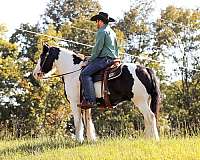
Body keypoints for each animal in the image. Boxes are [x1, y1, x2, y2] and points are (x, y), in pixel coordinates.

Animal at [33, 44, 161, 142]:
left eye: (42, 56)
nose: (35, 74)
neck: (73, 72)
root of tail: (146, 69)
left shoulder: (74, 103)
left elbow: (78, 122)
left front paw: (78, 140)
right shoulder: (86, 104)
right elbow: (87, 120)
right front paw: (90, 139)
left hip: (140, 101)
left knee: (150, 116)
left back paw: (154, 139)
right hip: (146, 101)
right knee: (148, 118)